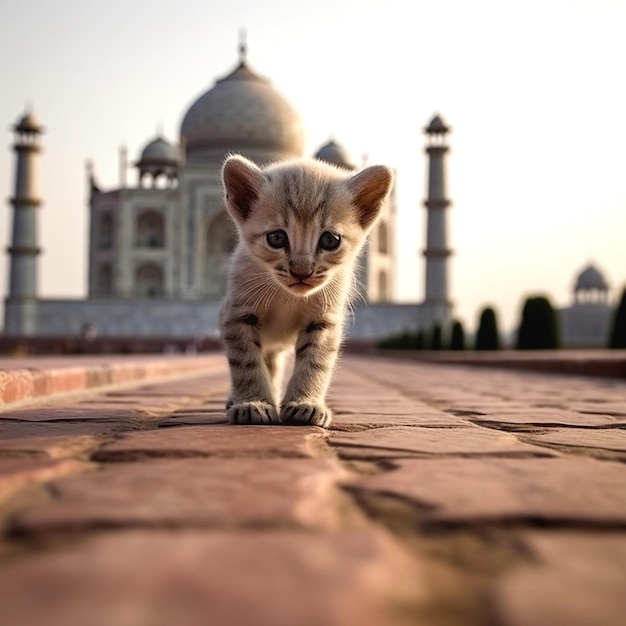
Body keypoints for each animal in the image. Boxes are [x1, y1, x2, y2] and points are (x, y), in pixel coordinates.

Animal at [214, 154, 390, 426]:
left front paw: (305, 403)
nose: (301, 270)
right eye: (276, 238)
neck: (288, 298)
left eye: (330, 240)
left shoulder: (324, 320)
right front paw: (253, 403)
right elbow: (246, 363)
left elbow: (315, 363)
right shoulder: (237, 315)